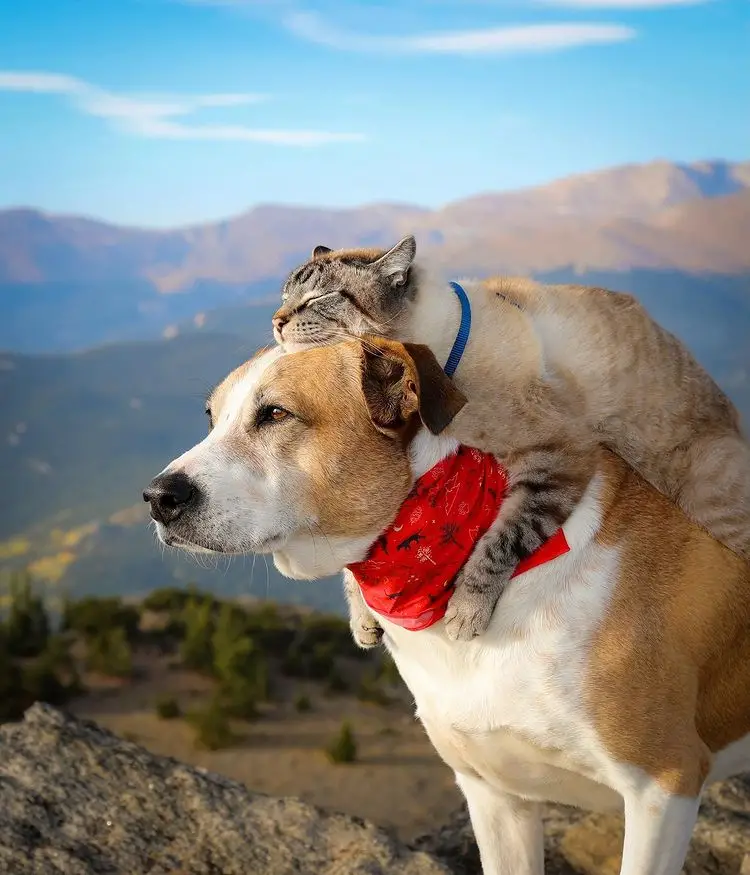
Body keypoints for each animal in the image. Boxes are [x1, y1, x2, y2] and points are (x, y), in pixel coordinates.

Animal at [272, 236, 750, 648]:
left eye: (317, 299)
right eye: (283, 297)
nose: (276, 322)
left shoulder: (559, 454)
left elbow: (503, 539)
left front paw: (465, 614)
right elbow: (356, 557)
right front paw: (364, 621)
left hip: (709, 502)